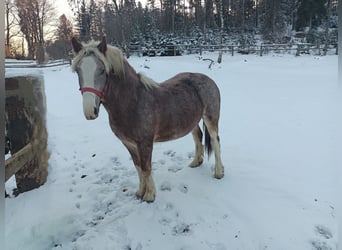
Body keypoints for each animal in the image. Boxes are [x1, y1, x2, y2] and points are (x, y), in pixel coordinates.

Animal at [71, 36, 223, 201]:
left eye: (102, 70)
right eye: (78, 70)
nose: (90, 111)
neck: (133, 102)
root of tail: (208, 79)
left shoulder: (145, 143)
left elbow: (146, 167)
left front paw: (149, 195)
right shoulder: (129, 143)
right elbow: (138, 167)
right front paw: (140, 192)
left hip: (211, 118)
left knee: (215, 140)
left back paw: (219, 172)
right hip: (191, 120)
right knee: (198, 136)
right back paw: (196, 162)